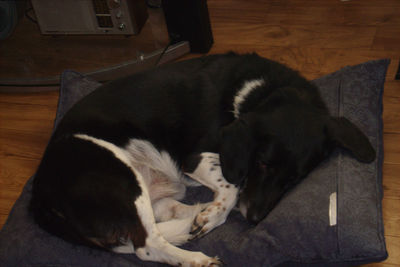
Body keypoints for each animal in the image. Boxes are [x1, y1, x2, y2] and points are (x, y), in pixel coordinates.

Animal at [30, 53, 376, 266]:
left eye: (295, 179)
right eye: (262, 164)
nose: (253, 220)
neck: (255, 90)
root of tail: (39, 200)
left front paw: (209, 215)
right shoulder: (194, 157)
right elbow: (232, 185)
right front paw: (215, 214)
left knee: (164, 214)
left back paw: (194, 218)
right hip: (120, 174)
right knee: (147, 244)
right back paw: (197, 254)